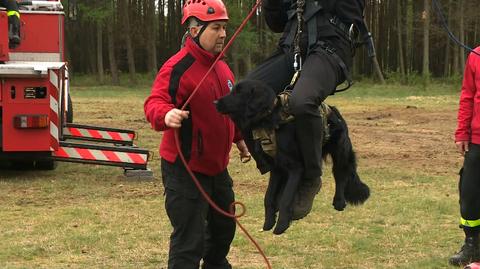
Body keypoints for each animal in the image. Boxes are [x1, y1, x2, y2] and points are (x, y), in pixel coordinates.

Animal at [216, 78, 370, 233]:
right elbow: (268, 197)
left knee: (340, 175)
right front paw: (269, 222)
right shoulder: (276, 168)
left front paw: (281, 225)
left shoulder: (295, 168)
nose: (215, 102)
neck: (269, 119)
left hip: (340, 153)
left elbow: (286, 198)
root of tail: (335, 112)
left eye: (239, 92)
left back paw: (339, 201)